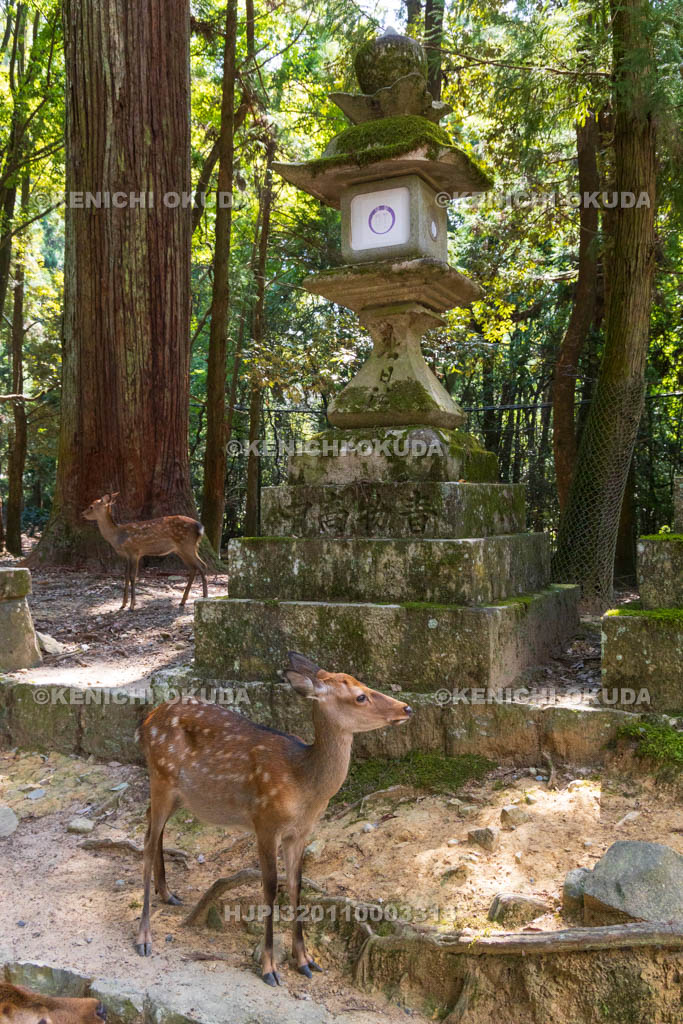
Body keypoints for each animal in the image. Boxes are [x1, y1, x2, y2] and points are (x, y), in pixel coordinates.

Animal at [135, 651, 413, 986]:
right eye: (360, 696)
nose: (406, 708)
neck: (304, 786)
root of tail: (145, 722)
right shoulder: (265, 821)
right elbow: (269, 888)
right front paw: (269, 967)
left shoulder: (301, 831)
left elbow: (296, 885)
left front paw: (306, 960)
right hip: (161, 776)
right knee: (147, 841)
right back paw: (144, 937)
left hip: (178, 793)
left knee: (152, 827)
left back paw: (167, 893)